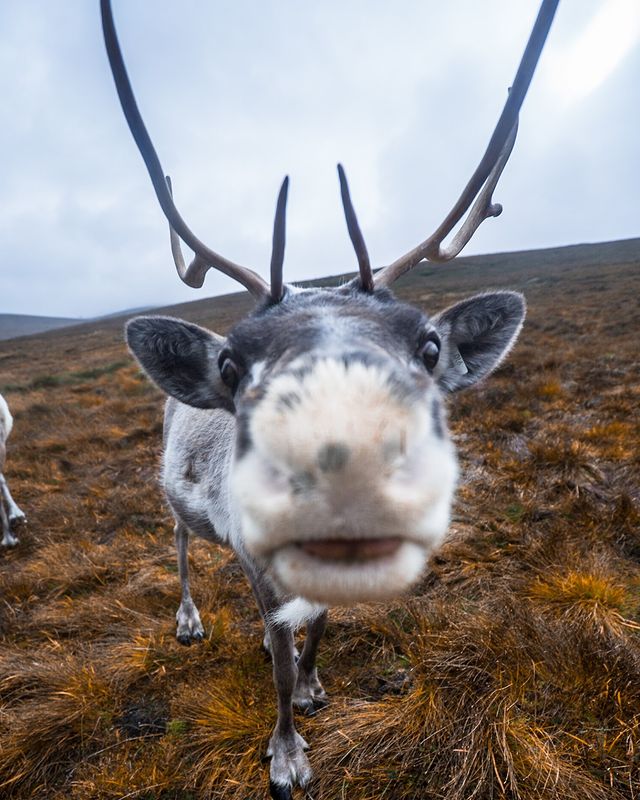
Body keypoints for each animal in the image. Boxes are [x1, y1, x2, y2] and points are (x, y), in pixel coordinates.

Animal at [102, 0, 559, 796]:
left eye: (428, 347)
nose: (344, 447)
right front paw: (286, 749)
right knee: (184, 544)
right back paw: (190, 617)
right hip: (177, 498)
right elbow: (282, 659)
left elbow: (316, 628)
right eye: (233, 363)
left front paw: (316, 683)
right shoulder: (257, 554)